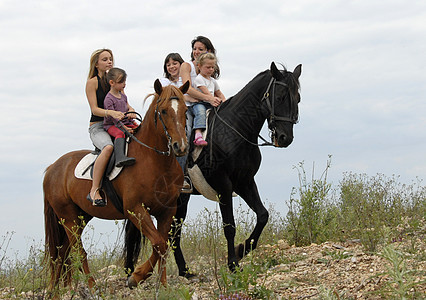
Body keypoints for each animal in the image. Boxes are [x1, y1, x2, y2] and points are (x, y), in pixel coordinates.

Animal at [43, 80, 190, 292]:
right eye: (163, 111)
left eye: (185, 110)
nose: (181, 146)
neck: (154, 161)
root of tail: (52, 168)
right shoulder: (135, 210)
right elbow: (158, 243)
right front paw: (137, 277)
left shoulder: (167, 211)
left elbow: (162, 245)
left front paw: (161, 285)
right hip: (68, 218)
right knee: (78, 251)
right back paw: (92, 286)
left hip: (80, 217)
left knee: (62, 251)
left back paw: (55, 289)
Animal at [125, 62, 302, 280]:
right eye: (280, 97)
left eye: (298, 98)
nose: (285, 138)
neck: (235, 131)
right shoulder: (223, 185)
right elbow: (230, 226)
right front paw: (233, 263)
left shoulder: (245, 182)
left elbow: (263, 215)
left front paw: (241, 250)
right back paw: (133, 271)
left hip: (180, 199)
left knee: (174, 231)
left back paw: (185, 271)